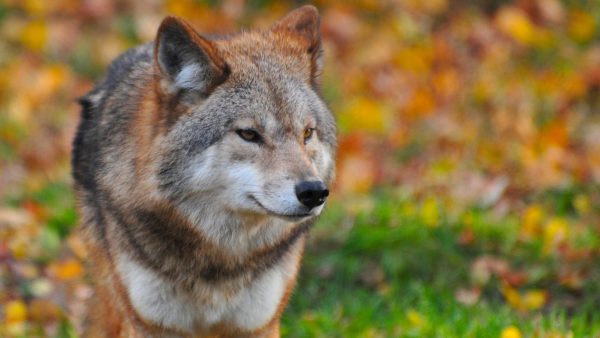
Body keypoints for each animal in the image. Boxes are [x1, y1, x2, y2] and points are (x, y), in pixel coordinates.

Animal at [72, 5, 336, 338]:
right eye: (249, 134)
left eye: (307, 133)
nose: (314, 192)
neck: (220, 259)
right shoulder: (150, 324)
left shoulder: (259, 324)